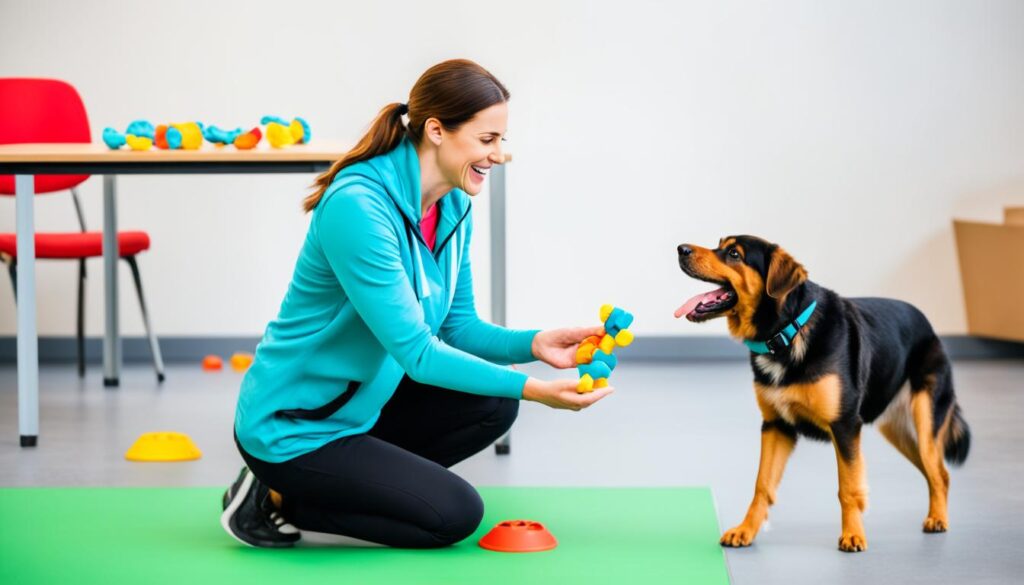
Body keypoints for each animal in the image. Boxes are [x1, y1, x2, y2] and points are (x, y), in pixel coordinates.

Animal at [675, 234, 970, 553]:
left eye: (734, 254)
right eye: (719, 244)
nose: (681, 249)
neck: (786, 331)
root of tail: (929, 325)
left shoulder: (845, 426)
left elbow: (848, 488)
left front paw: (853, 535)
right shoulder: (776, 426)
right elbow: (762, 485)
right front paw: (746, 530)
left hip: (927, 421)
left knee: (939, 472)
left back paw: (938, 519)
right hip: (898, 430)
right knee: (934, 471)